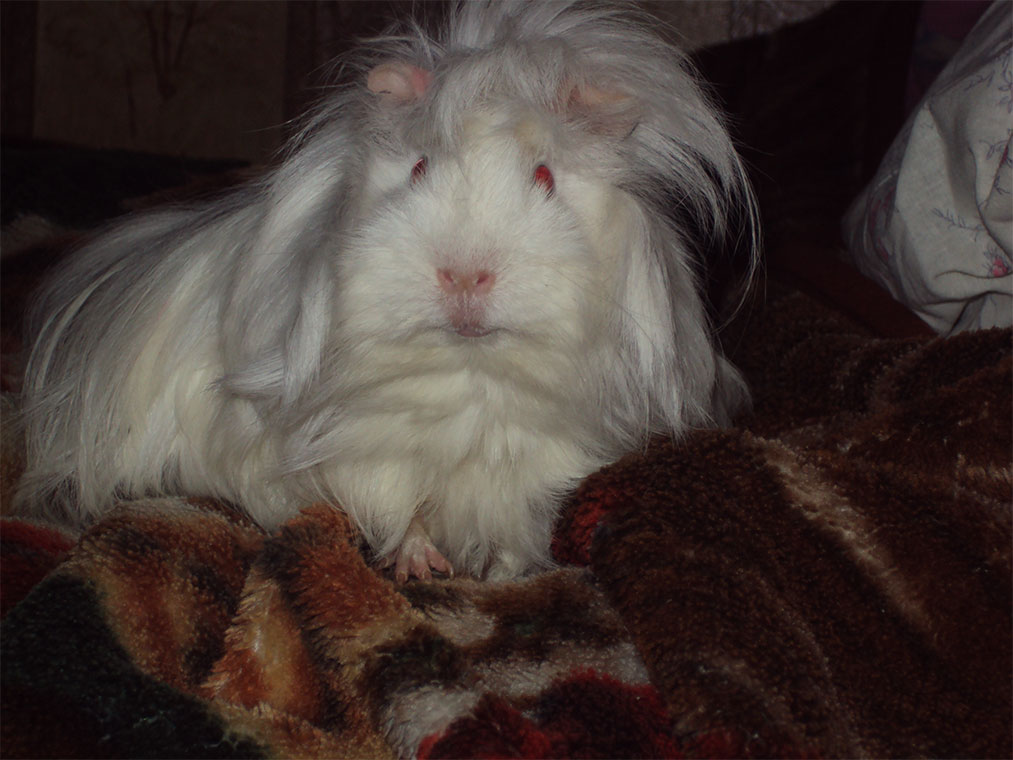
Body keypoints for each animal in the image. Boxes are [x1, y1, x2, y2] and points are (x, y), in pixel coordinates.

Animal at [16, 0, 757, 582]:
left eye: (545, 175)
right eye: (419, 167)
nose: (463, 274)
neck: (473, 381)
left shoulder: (543, 461)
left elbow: (515, 528)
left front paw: (497, 574)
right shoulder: (370, 454)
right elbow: (404, 511)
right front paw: (421, 568)